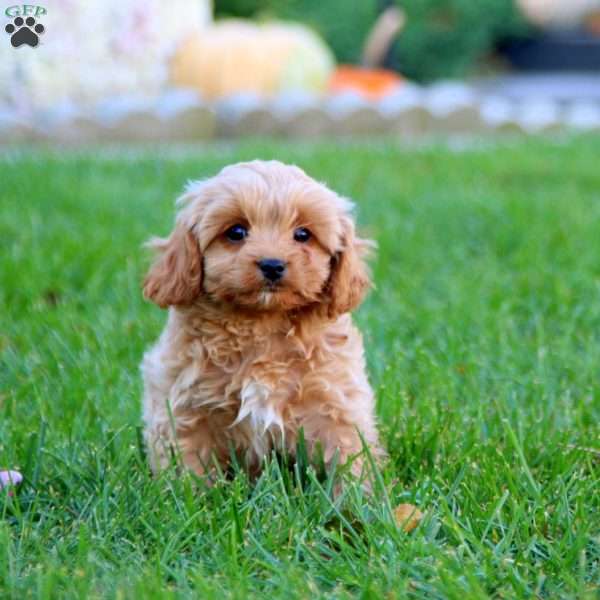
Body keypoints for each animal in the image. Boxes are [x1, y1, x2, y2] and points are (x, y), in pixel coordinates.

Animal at [141, 159, 384, 488]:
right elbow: (189, 465)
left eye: (303, 234)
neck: (261, 323)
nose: (272, 264)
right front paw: (190, 496)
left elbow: (350, 457)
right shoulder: (184, 406)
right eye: (236, 231)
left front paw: (361, 498)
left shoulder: (335, 401)